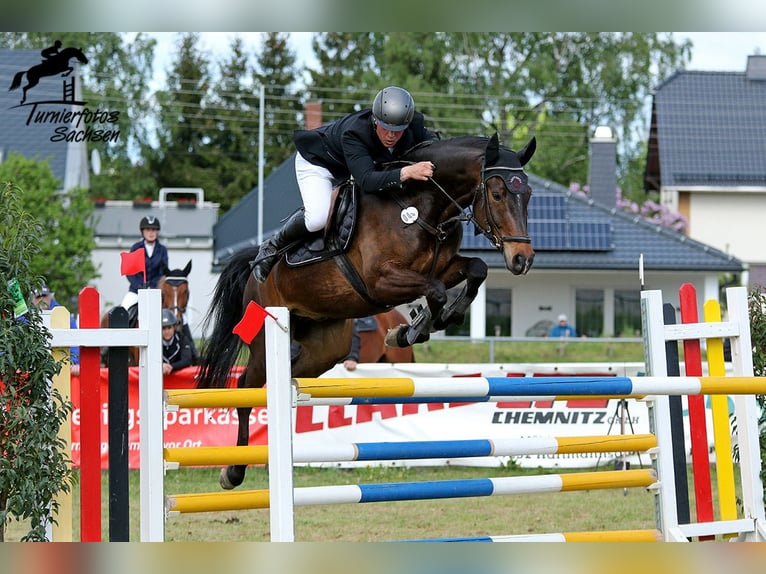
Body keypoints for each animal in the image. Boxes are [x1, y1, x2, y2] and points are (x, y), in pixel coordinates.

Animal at [197, 133, 535, 490]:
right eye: (497, 194)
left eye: (527, 195)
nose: (522, 259)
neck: (422, 208)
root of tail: (254, 269)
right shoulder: (382, 281)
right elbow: (435, 291)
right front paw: (415, 328)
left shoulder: (443, 268)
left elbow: (476, 269)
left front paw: (429, 322)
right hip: (264, 337)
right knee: (246, 387)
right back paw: (233, 472)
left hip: (324, 348)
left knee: (290, 377)